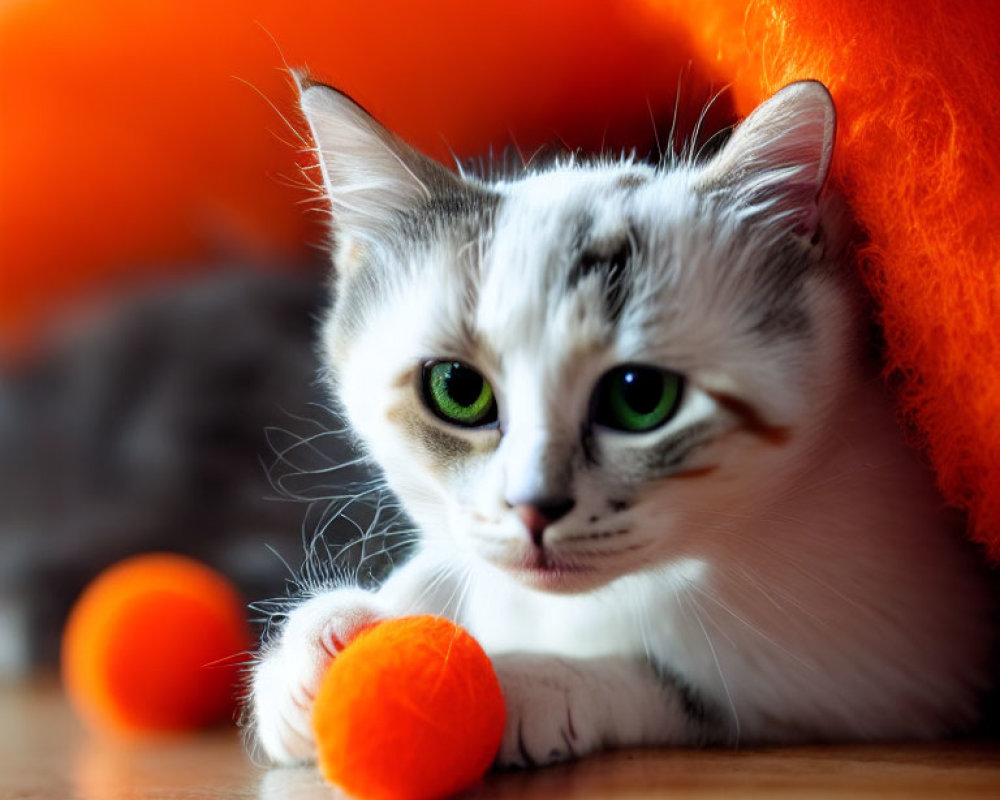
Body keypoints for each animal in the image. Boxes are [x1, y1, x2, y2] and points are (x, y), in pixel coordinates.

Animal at [248, 81, 992, 768]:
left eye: (640, 397)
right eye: (457, 389)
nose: (533, 508)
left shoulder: (883, 662)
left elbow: (678, 680)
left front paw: (504, 680)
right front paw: (318, 647)